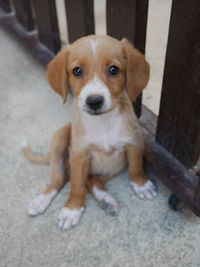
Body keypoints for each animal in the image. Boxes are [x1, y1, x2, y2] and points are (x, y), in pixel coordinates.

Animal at [23, 35, 157, 230]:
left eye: (113, 69)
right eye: (77, 71)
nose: (94, 101)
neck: (102, 123)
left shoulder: (133, 143)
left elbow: (136, 167)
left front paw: (141, 185)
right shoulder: (79, 155)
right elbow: (76, 185)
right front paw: (72, 209)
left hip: (112, 166)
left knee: (91, 181)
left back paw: (106, 200)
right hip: (59, 140)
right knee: (60, 179)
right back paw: (41, 200)